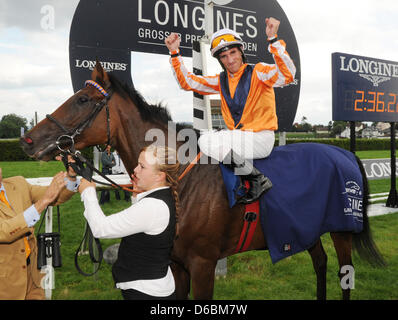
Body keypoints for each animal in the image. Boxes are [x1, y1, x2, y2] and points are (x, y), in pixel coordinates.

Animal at [20, 62, 384, 300]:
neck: (180, 178)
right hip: (304, 229)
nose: (28, 140)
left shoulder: (203, 264)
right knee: (320, 264)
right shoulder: (177, 264)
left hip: (341, 230)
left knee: (343, 274)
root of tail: (344, 154)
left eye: (82, 100)